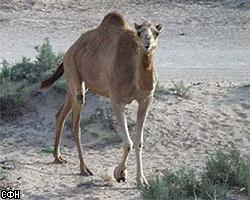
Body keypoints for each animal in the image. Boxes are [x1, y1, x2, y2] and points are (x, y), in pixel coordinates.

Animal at [39, 12, 163, 188]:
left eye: (156, 33)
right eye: (139, 32)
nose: (147, 43)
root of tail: (69, 51)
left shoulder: (146, 99)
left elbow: (138, 141)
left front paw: (141, 181)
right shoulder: (117, 100)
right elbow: (128, 143)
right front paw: (119, 173)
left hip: (78, 83)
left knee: (60, 114)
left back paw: (57, 156)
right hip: (74, 71)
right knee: (76, 125)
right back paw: (84, 168)